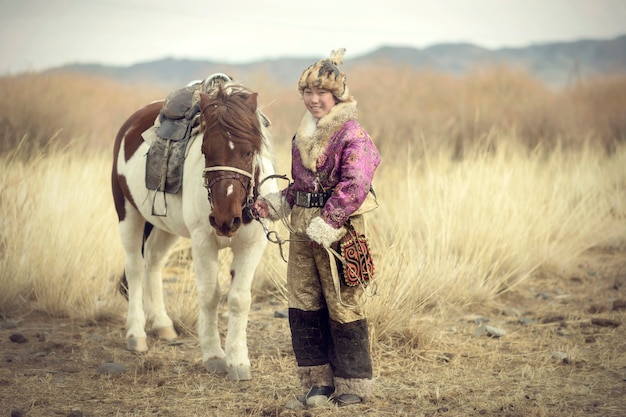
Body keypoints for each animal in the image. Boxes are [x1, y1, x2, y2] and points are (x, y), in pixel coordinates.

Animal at [111, 75, 276, 380]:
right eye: (206, 151)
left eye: (249, 151)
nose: (225, 219)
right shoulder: (202, 241)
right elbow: (210, 297)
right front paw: (214, 356)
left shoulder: (252, 244)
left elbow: (239, 299)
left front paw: (238, 361)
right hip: (128, 215)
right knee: (135, 267)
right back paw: (136, 335)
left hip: (164, 227)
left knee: (153, 262)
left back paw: (162, 324)